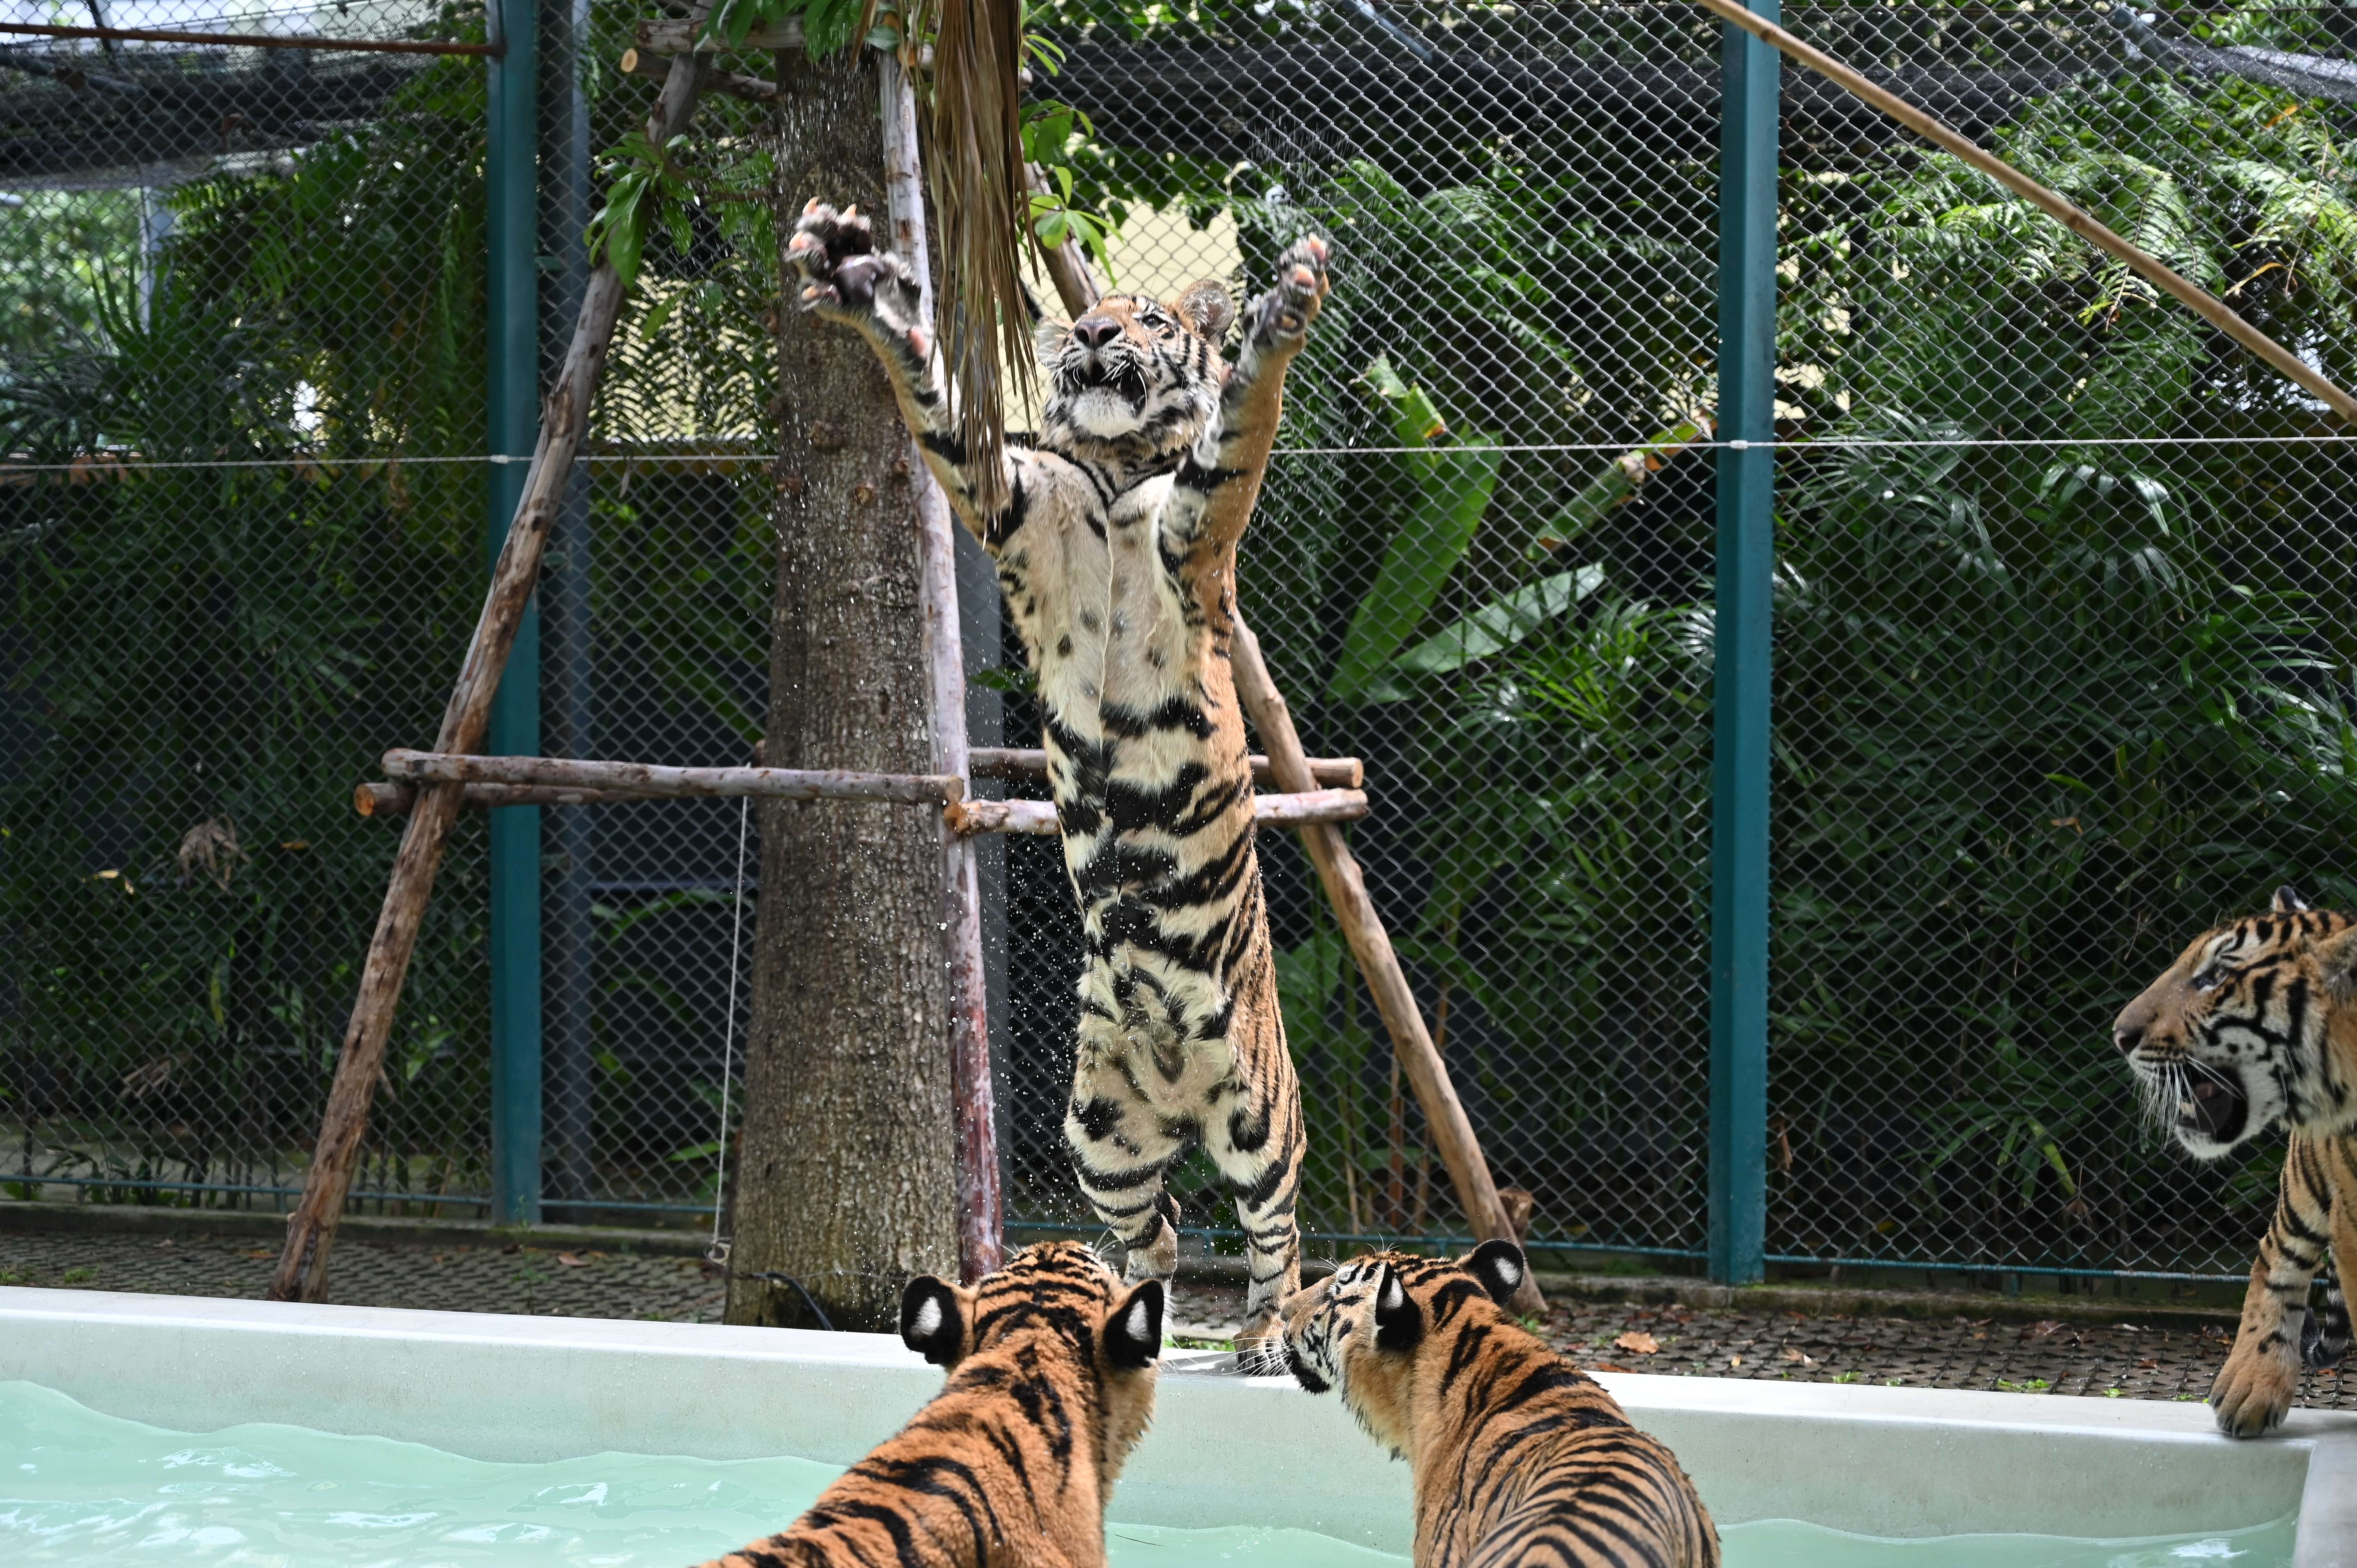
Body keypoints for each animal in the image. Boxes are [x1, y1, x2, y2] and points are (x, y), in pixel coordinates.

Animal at [784, 200, 1329, 1343]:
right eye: (1094, 314)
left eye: (1153, 316)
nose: (1091, 334)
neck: (1116, 466)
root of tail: (1178, 1081)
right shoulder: (1001, 495)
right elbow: (940, 401)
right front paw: (860, 285)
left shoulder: (1195, 528)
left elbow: (1236, 430)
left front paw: (1279, 316)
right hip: (1099, 1129)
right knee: (1159, 1224)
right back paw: (1126, 1299)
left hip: (1259, 1115)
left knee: (1279, 1235)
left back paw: (1264, 1328)